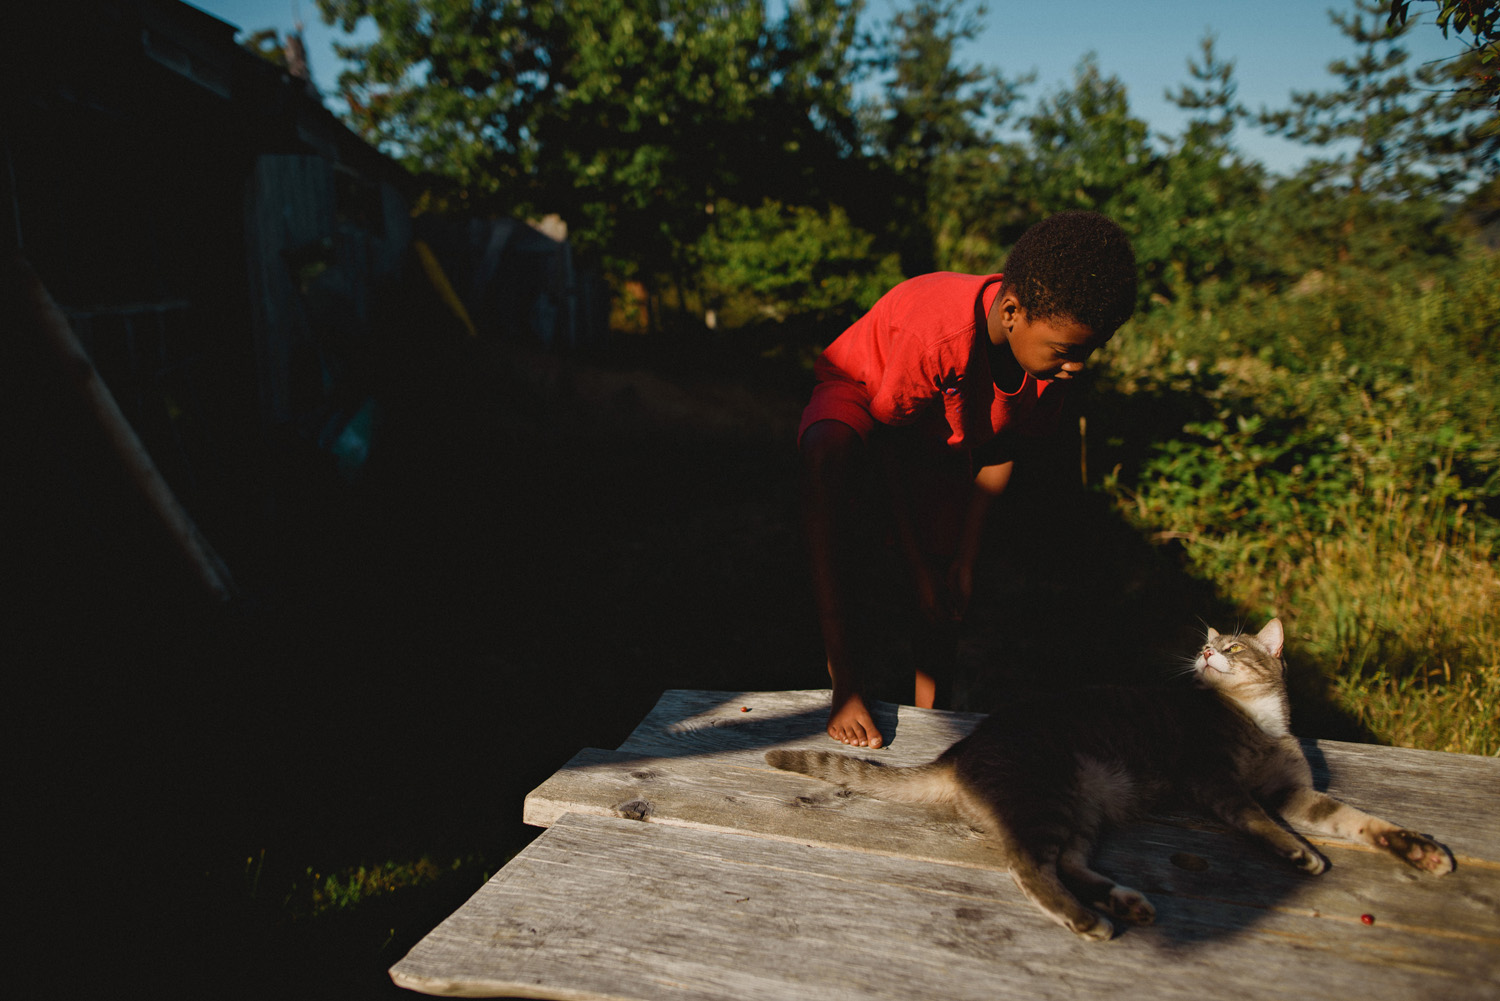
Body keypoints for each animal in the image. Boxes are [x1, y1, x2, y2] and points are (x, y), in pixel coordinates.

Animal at [768, 618, 1446, 942]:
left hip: (1082, 806)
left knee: (1069, 861)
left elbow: (1357, 820)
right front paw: (1299, 851)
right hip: (1048, 794)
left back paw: (1124, 900)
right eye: (1210, 646)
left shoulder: (1293, 789)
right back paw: (1089, 918)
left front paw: (1420, 850)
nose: (1206, 653)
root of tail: (960, 751)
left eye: (1232, 647)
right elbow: (1261, 821)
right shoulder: (1218, 782)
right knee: (1030, 866)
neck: (1257, 717)